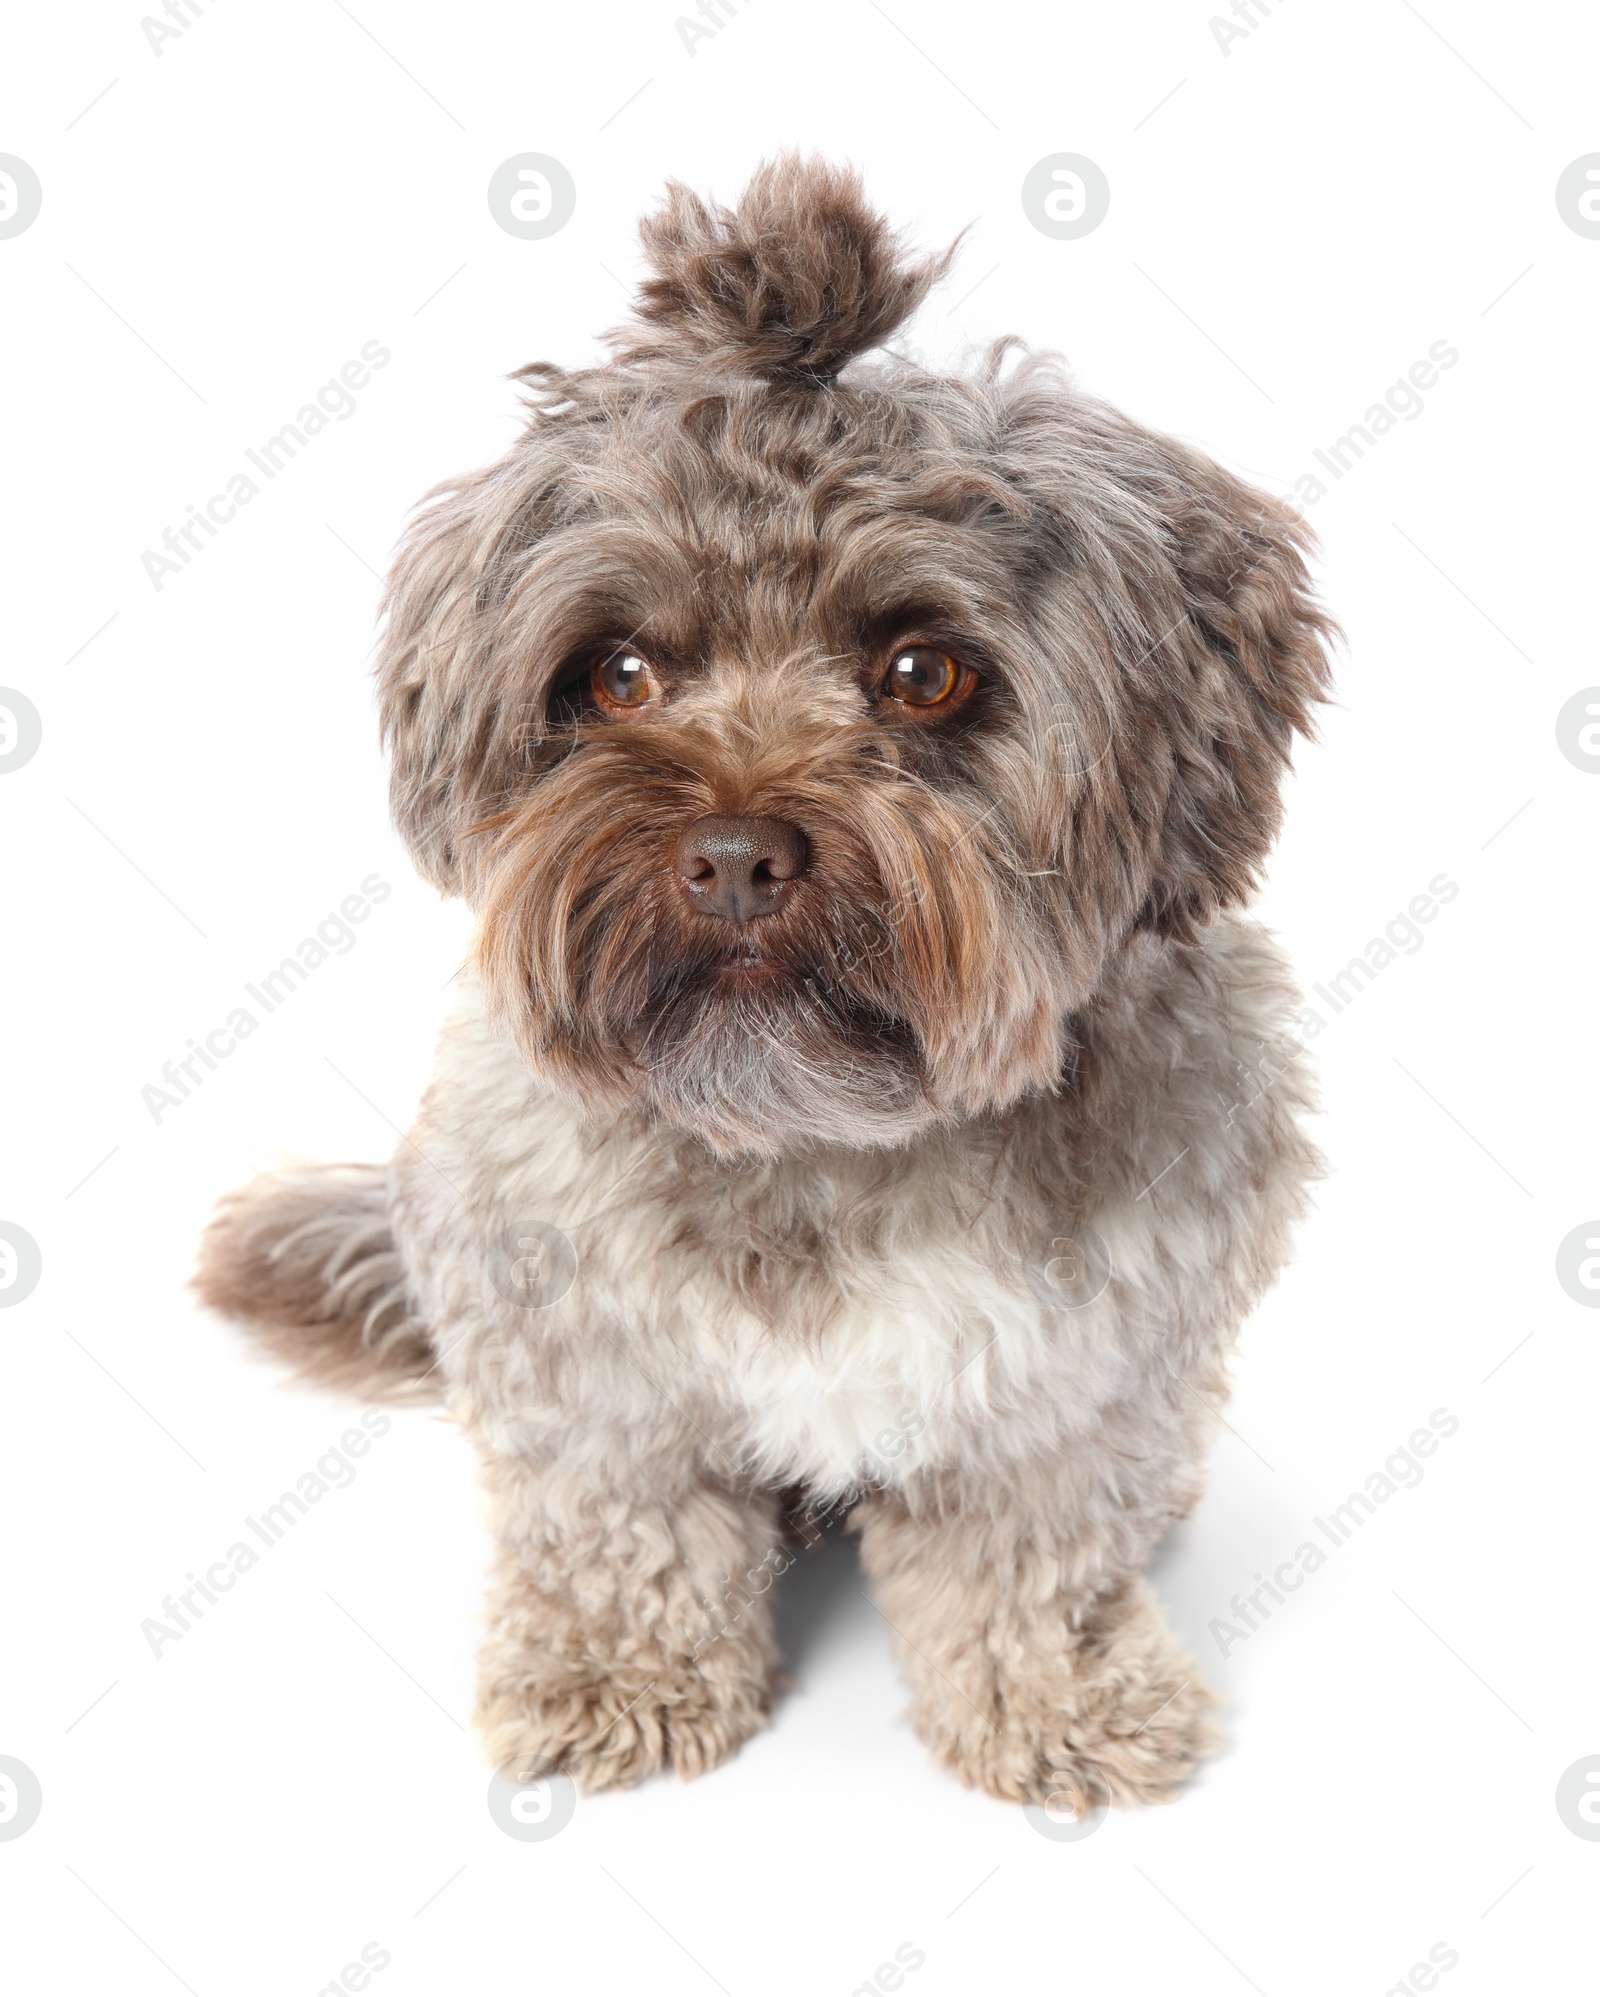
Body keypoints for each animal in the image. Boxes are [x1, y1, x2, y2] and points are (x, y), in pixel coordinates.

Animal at [193, 155, 1326, 1813]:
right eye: (617, 675)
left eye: (925, 673)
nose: (733, 856)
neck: (820, 1140)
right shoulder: (573, 1335)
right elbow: (623, 1519)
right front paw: (618, 1670)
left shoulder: (1089, 1357)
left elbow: (1032, 1548)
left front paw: (1057, 1696)